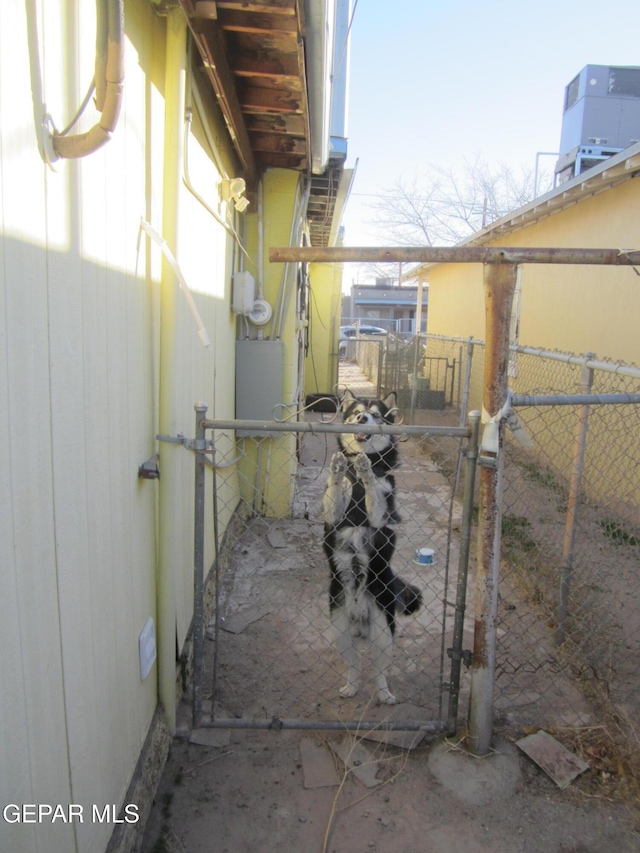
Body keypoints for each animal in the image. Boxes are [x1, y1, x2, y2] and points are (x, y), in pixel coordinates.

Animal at [322, 390, 422, 704]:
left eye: (376, 415)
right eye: (356, 412)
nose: (362, 419)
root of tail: (359, 618)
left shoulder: (380, 517)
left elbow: (373, 490)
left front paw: (366, 471)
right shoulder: (332, 517)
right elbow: (336, 488)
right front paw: (338, 469)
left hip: (383, 632)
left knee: (379, 667)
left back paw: (384, 693)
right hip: (339, 631)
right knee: (354, 663)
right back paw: (351, 686)